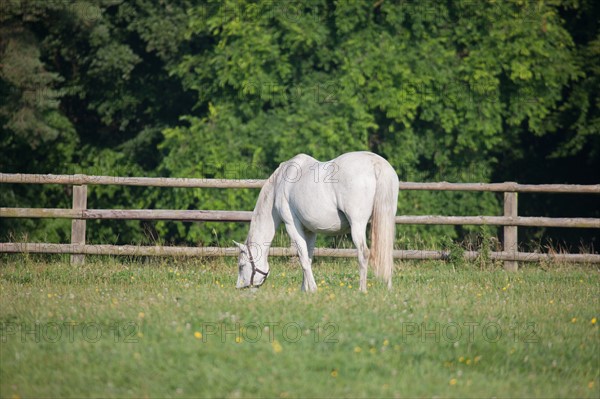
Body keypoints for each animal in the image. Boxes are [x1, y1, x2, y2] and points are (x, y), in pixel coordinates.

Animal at [234, 152, 398, 292]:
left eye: (241, 265)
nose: (240, 287)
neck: (279, 184)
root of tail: (376, 164)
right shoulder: (310, 231)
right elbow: (308, 257)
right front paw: (304, 289)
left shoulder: (292, 226)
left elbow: (303, 259)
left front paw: (312, 289)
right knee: (386, 252)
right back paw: (389, 288)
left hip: (357, 224)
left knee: (363, 253)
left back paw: (362, 290)